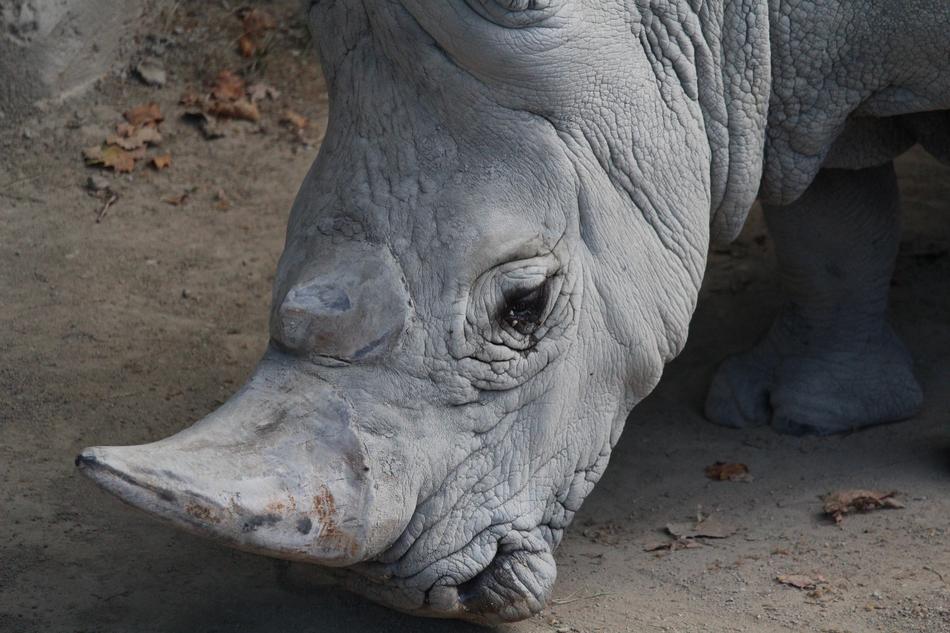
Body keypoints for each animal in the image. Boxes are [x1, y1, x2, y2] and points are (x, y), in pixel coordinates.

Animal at [76, 0, 950, 623]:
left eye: (525, 306)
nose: (385, 588)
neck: (704, 22)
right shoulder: (800, 75)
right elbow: (832, 220)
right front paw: (800, 415)